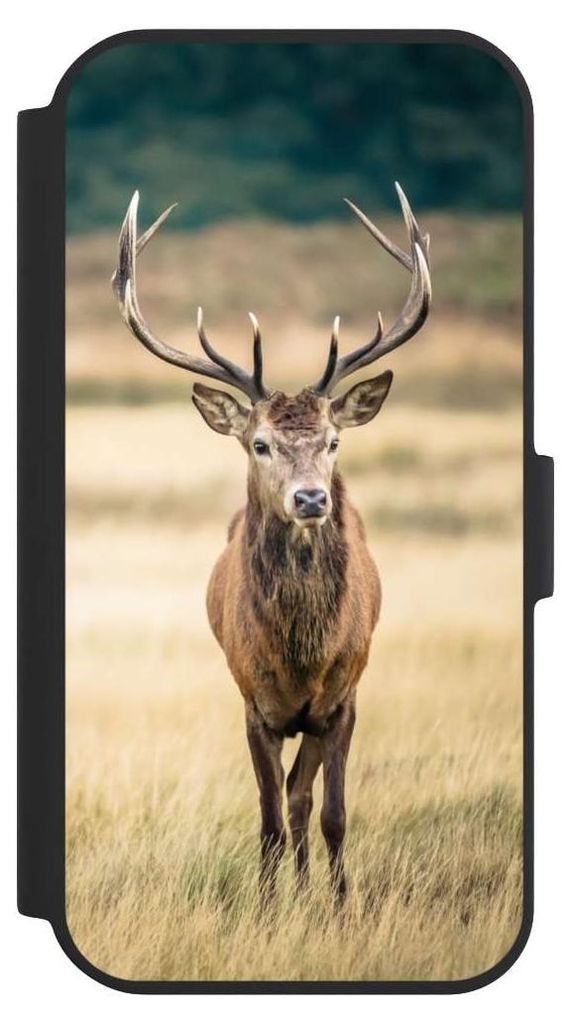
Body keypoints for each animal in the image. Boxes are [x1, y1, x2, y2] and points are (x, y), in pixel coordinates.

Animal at [112, 183, 431, 905]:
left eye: (334, 441)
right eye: (259, 444)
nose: (311, 498)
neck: (300, 656)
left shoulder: (342, 698)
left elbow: (330, 812)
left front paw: (339, 908)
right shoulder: (253, 703)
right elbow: (266, 819)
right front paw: (264, 907)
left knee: (302, 798)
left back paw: (311, 889)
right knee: (285, 801)